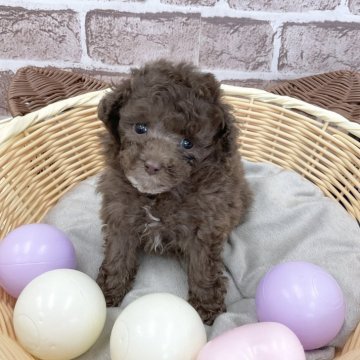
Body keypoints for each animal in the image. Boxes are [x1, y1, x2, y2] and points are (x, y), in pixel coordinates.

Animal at [97, 59, 252, 324]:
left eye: (187, 144)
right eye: (140, 128)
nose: (152, 165)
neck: (157, 196)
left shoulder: (206, 223)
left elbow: (203, 267)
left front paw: (207, 308)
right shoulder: (120, 212)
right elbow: (118, 253)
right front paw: (109, 292)